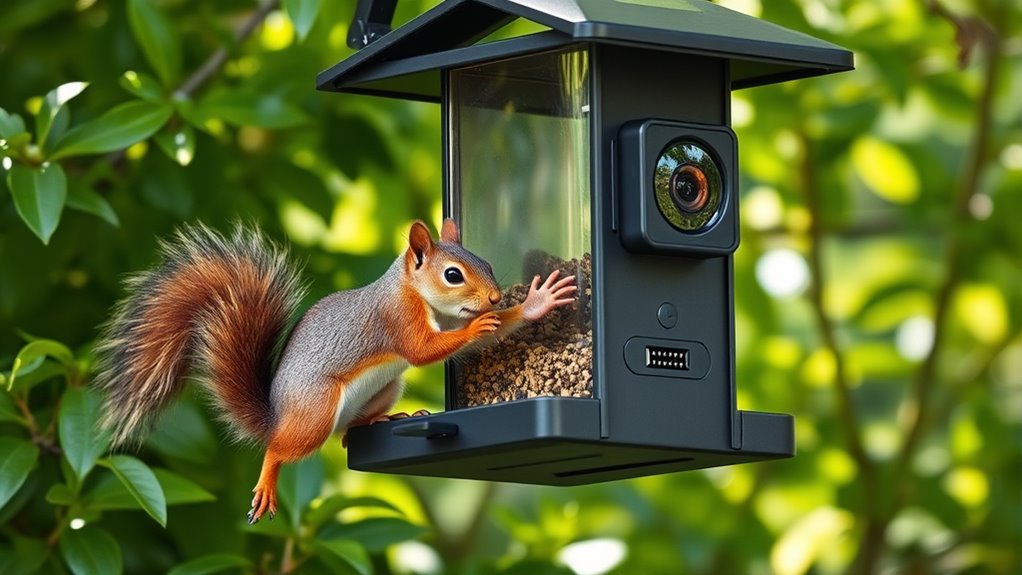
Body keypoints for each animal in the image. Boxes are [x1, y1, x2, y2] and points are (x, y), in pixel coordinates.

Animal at [94, 219, 576, 523]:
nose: (494, 299)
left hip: (387, 387)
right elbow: (422, 350)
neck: (411, 291)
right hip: (316, 410)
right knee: (279, 448)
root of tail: (277, 414)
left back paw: (384, 419)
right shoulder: (396, 319)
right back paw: (268, 480)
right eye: (453, 275)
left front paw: (534, 305)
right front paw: (480, 323)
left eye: (488, 264)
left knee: (348, 431)